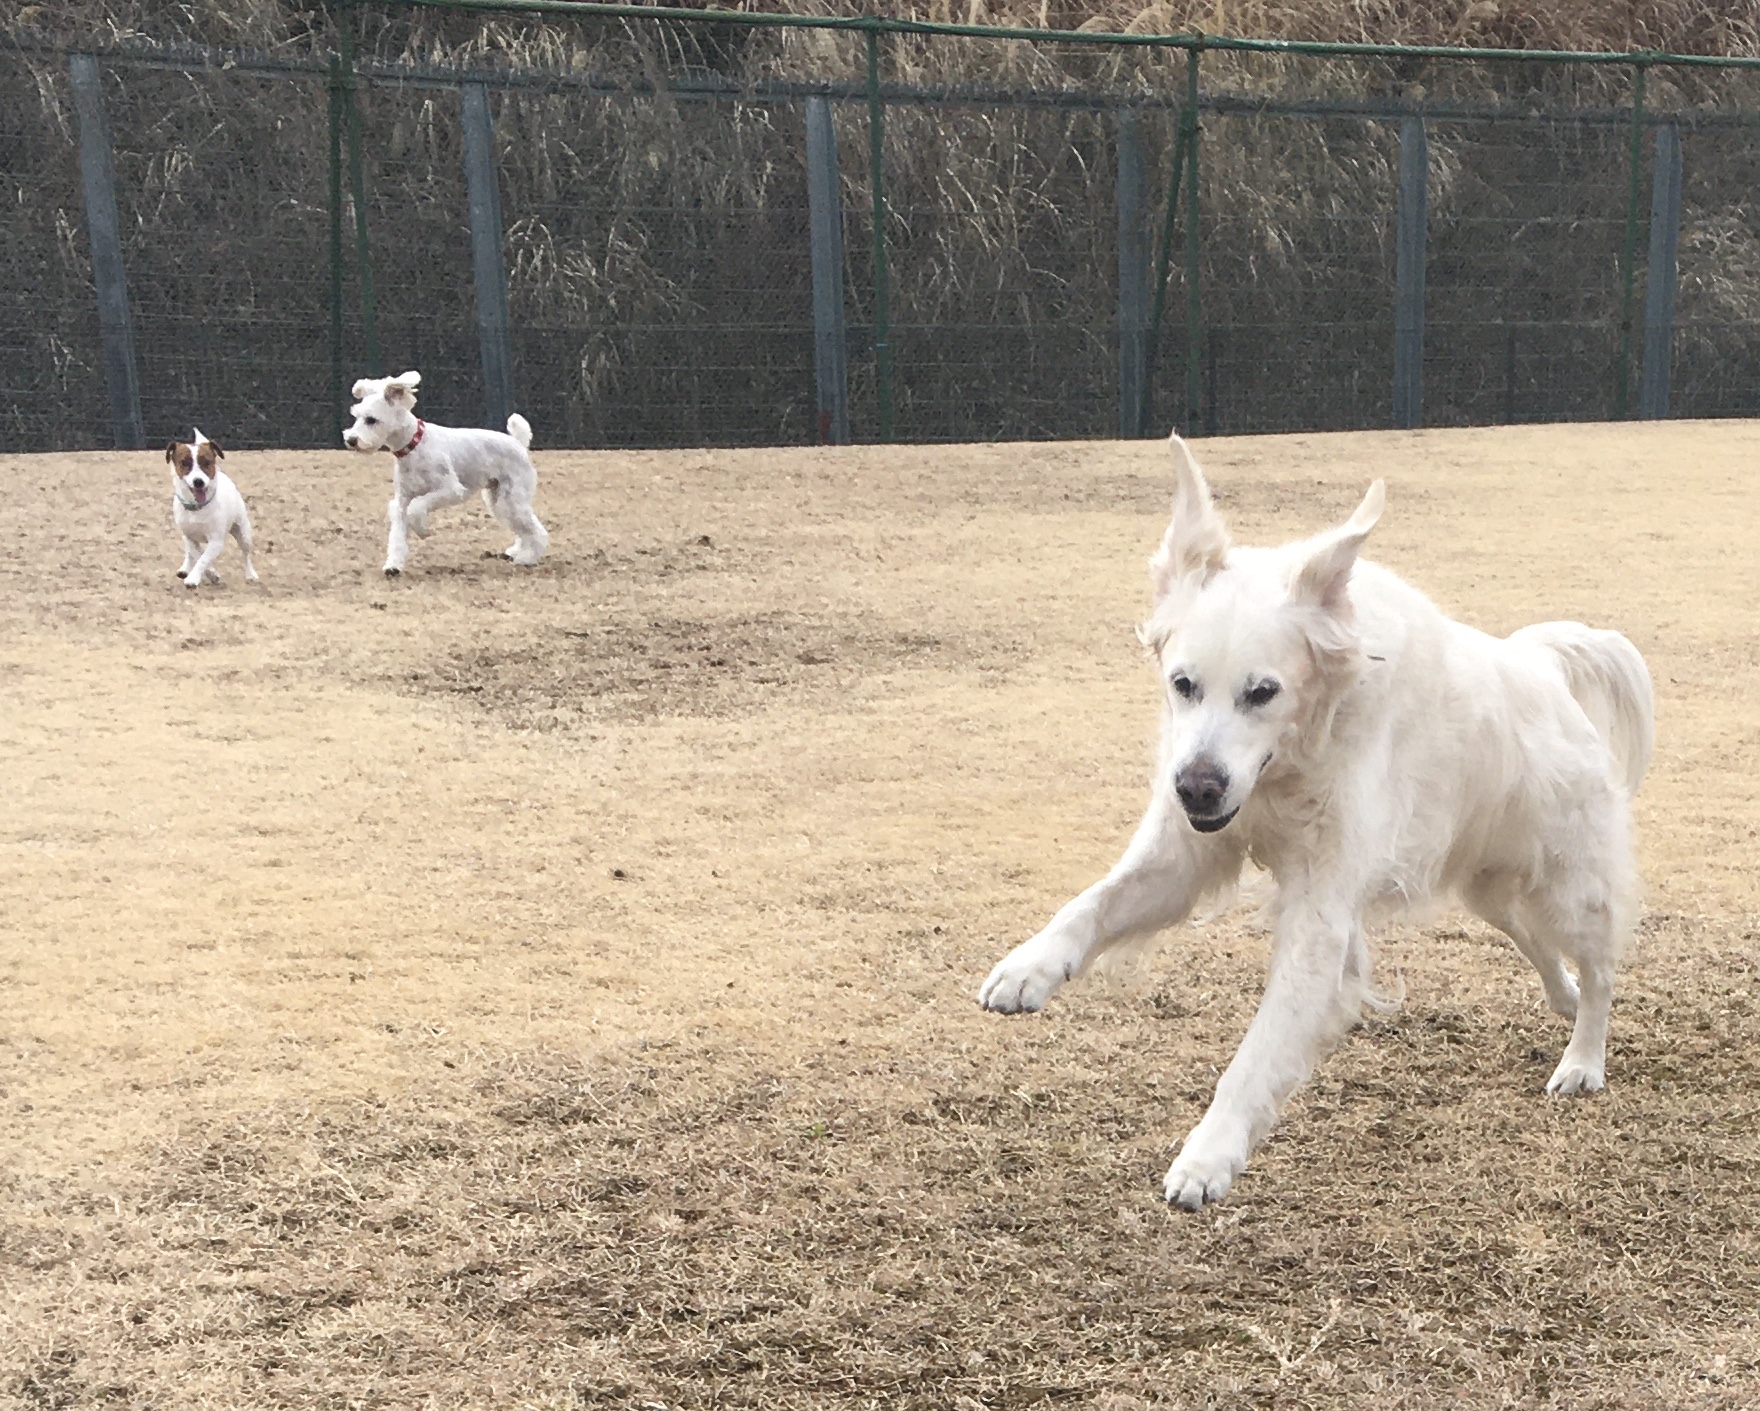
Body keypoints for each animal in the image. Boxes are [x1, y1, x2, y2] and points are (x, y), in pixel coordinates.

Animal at [167, 430, 258, 589]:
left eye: (206, 463)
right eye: (184, 463)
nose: (198, 482)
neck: (197, 508)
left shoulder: (216, 541)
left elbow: (203, 558)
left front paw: (193, 578)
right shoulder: (189, 536)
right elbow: (197, 555)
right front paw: (211, 574)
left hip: (243, 533)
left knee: (246, 554)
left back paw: (250, 574)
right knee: (189, 553)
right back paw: (185, 568)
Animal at [342, 371, 548, 577]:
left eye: (371, 419)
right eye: (356, 416)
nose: (351, 440)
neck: (414, 445)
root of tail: (518, 443)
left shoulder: (451, 490)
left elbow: (417, 507)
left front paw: (422, 530)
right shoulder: (402, 500)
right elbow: (397, 535)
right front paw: (393, 565)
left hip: (512, 500)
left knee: (537, 531)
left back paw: (528, 558)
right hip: (499, 501)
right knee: (524, 529)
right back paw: (517, 552)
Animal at [979, 436, 1652, 1209]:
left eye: (1263, 692)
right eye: (1183, 684)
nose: (1196, 789)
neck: (1288, 769)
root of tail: (1536, 663)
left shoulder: (1320, 917)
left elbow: (1255, 1054)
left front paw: (1209, 1154)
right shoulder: (1181, 856)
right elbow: (1091, 903)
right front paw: (1028, 967)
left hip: (1572, 886)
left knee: (1600, 970)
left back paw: (1584, 1058)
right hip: (1488, 886)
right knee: (1539, 946)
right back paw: (1561, 1000)